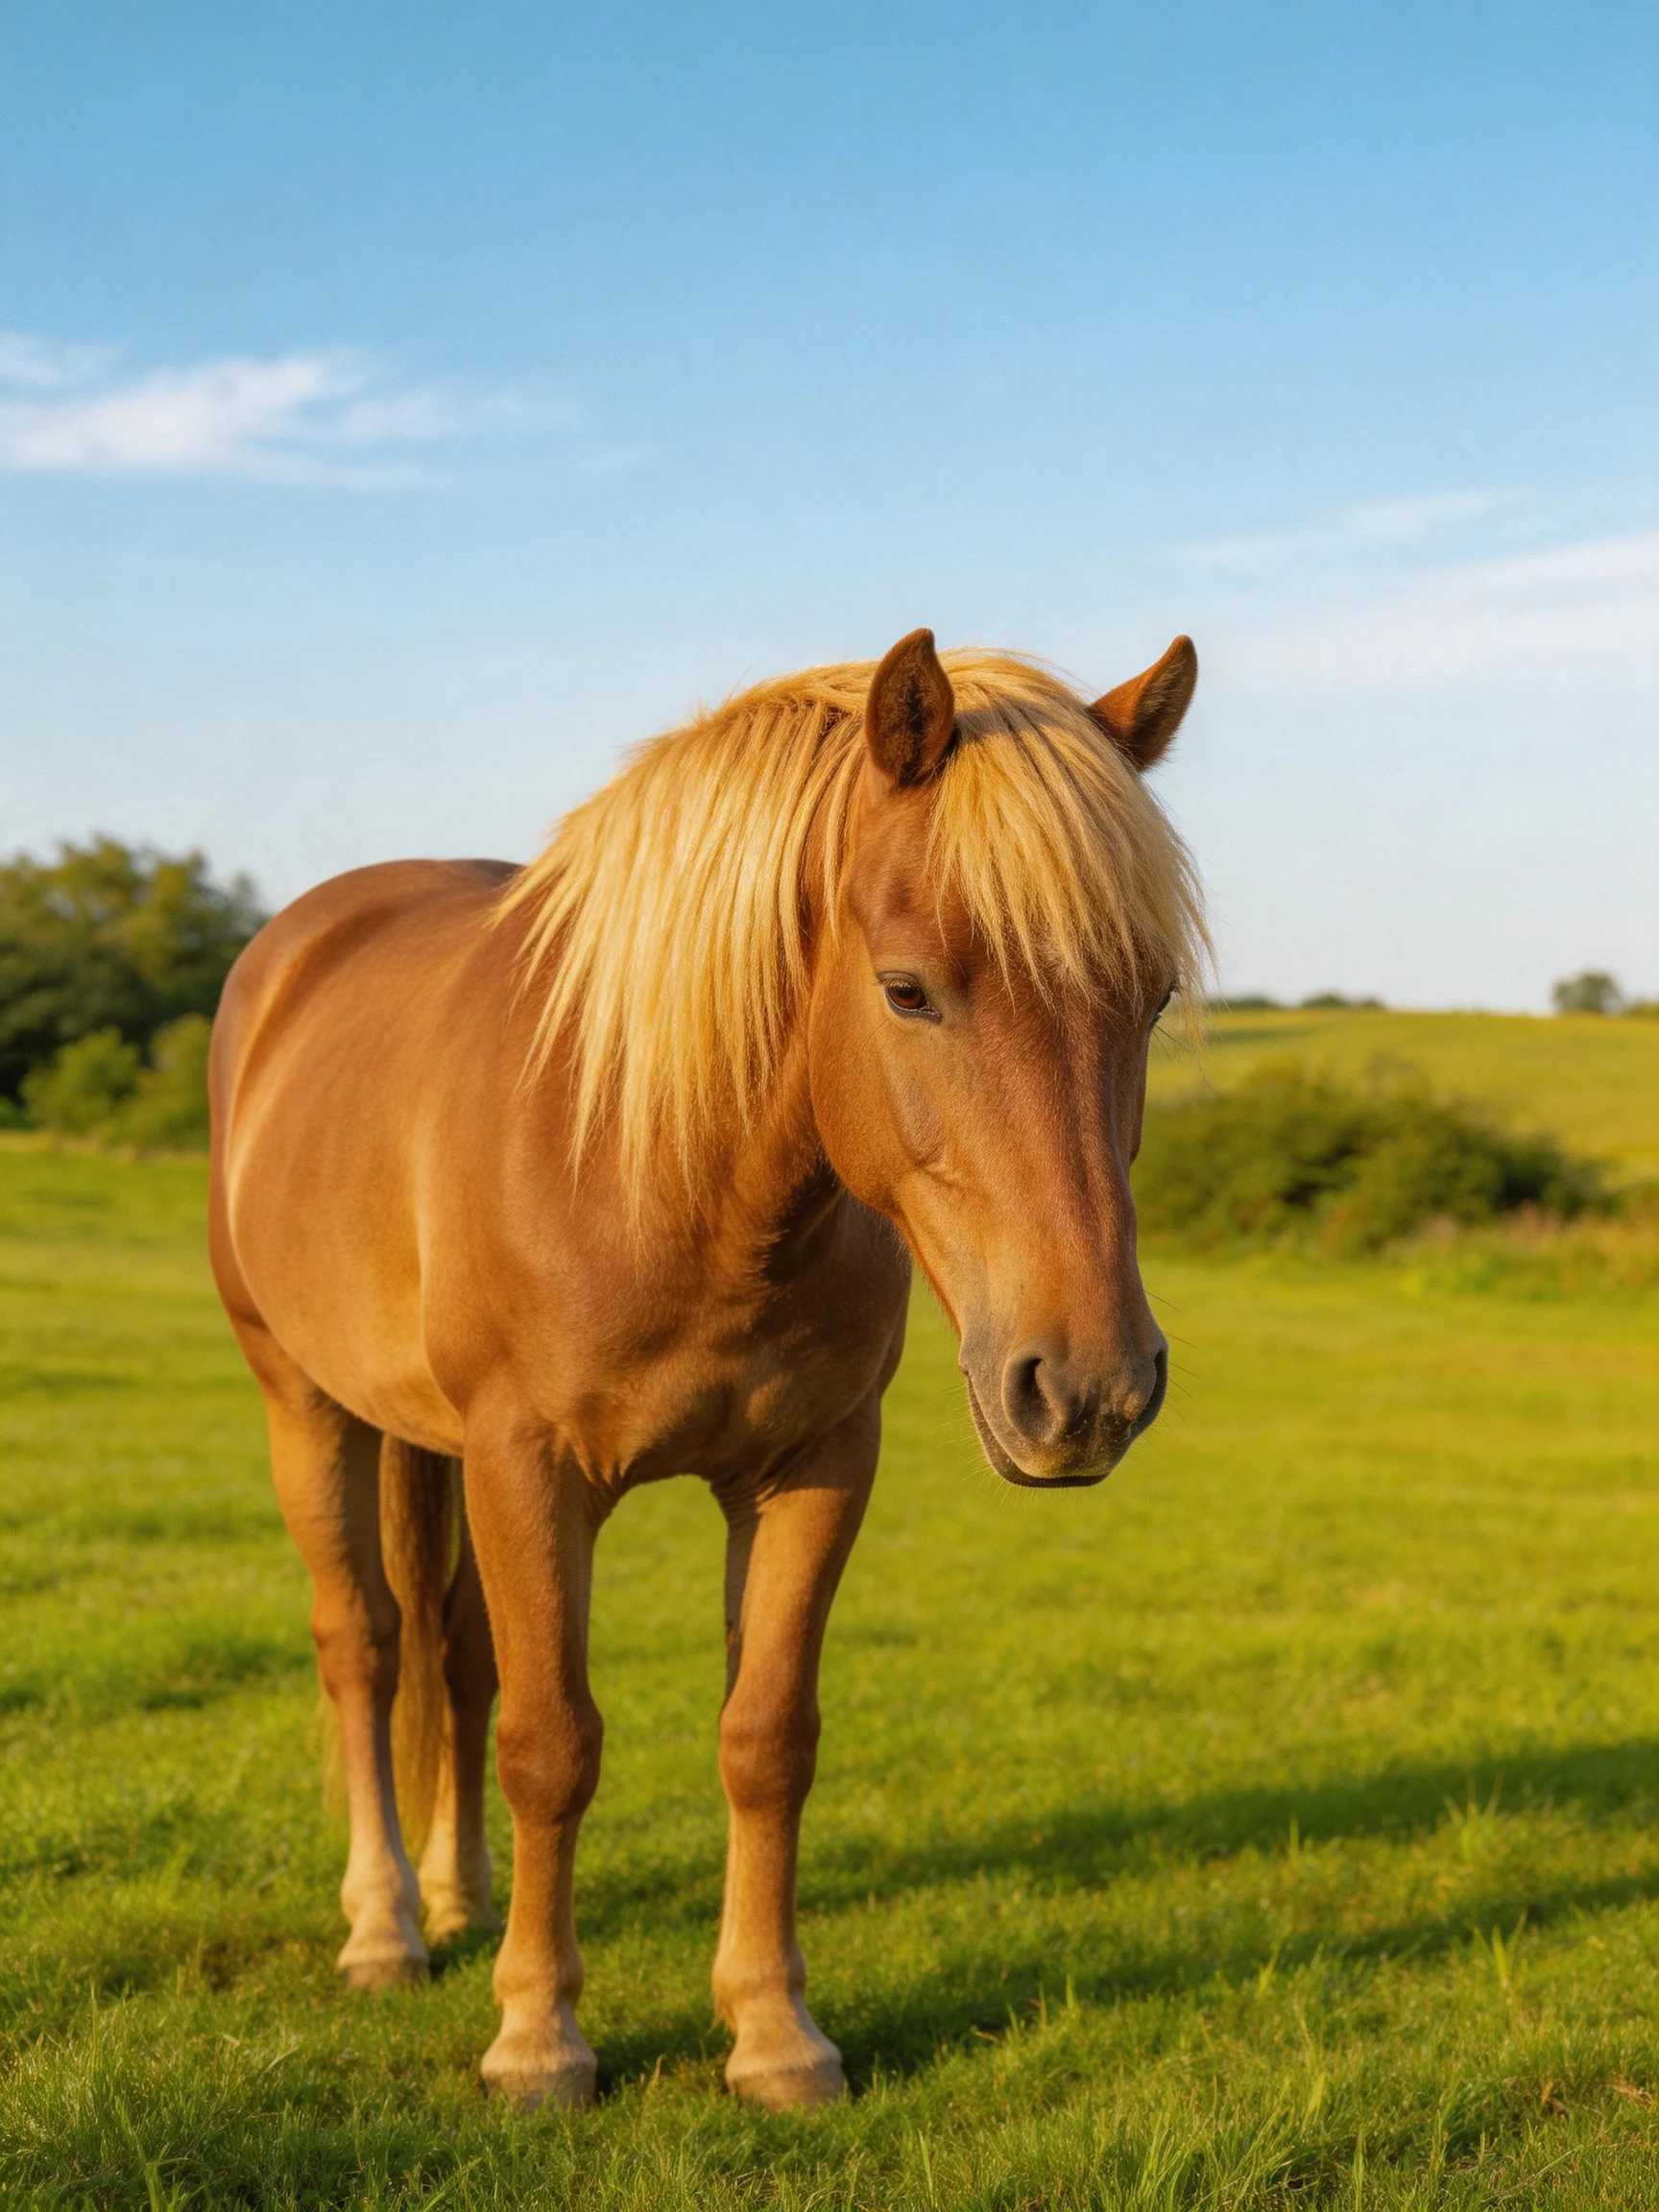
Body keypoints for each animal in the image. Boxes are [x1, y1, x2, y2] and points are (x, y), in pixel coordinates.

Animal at [208, 627, 1206, 2112]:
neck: (656, 1163)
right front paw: (539, 2040)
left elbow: (764, 1739)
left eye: (1150, 998)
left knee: (450, 1654)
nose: (1087, 1390)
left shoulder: (814, 1468)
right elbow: (552, 1744)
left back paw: (456, 1899)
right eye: (908, 989)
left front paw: (775, 2035)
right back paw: (385, 1929)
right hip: (307, 1407)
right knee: (365, 1648)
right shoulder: (531, 1469)